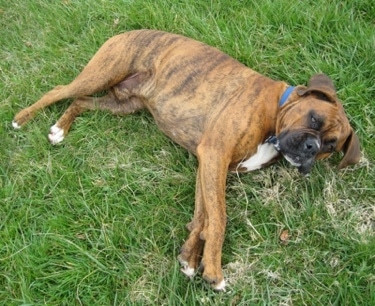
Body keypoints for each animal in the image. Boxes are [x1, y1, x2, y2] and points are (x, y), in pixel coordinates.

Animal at [12, 29, 362, 290]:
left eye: (331, 146)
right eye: (314, 119)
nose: (311, 147)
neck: (277, 111)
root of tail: (128, 30)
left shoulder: (210, 166)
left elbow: (202, 215)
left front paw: (191, 257)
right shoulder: (214, 157)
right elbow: (219, 218)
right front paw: (214, 270)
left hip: (122, 105)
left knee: (81, 102)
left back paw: (60, 129)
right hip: (101, 73)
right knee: (60, 91)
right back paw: (22, 118)